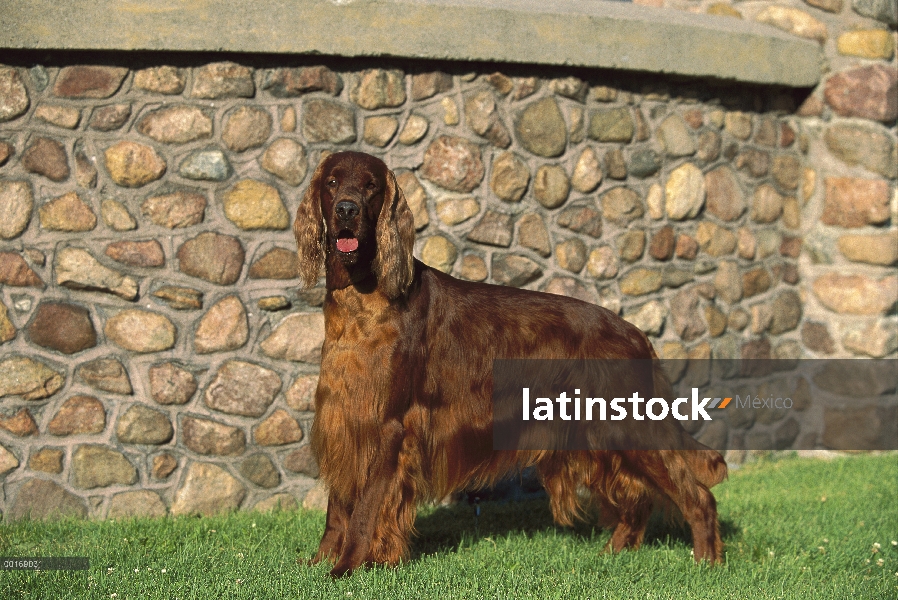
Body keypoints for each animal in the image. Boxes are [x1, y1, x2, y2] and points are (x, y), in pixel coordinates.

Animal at [294, 150, 728, 576]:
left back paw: (707, 564)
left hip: (627, 427)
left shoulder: (388, 424)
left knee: (697, 495)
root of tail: (637, 335)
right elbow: (337, 508)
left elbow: (365, 508)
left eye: (371, 185)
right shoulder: (343, 414)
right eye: (332, 182)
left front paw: (346, 568)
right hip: (600, 435)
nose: (346, 209)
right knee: (637, 497)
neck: (363, 297)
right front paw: (319, 563)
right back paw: (614, 553)